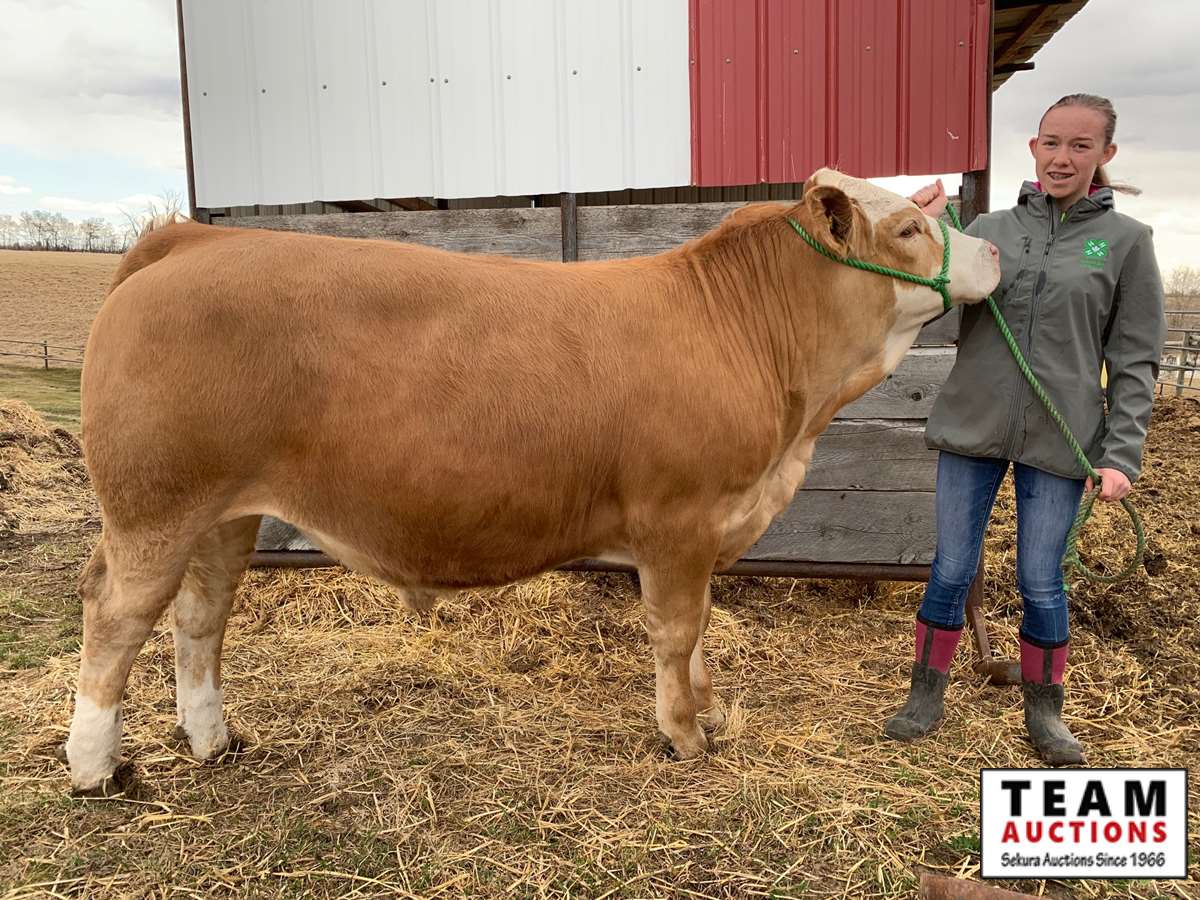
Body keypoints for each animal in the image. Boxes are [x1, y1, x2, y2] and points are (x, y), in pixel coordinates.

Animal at [64, 169, 1000, 794]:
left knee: (199, 617)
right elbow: (676, 631)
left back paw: (213, 739)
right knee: (115, 618)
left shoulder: (705, 529)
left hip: (222, 513)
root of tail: (193, 237)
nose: (992, 247)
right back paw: (95, 767)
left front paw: (707, 711)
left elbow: (699, 631)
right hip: (153, 508)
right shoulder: (679, 519)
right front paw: (683, 735)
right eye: (908, 231)